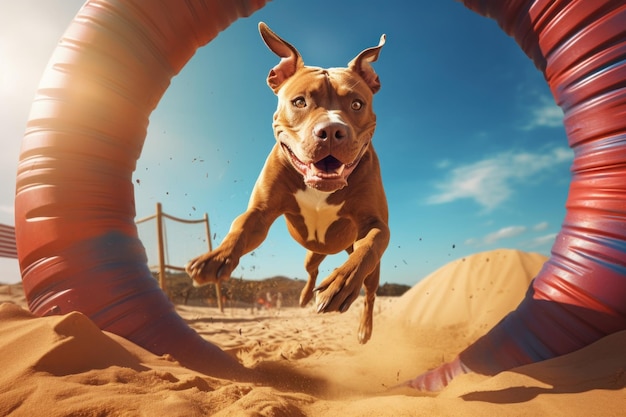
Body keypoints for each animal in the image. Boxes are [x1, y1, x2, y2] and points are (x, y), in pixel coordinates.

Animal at [188, 21, 388, 342]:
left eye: (357, 104)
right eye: (299, 102)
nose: (331, 131)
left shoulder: (377, 225)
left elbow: (369, 245)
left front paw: (341, 283)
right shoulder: (260, 213)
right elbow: (241, 226)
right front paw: (217, 257)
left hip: (369, 269)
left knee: (369, 291)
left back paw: (364, 329)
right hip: (314, 252)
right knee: (311, 270)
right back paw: (305, 297)